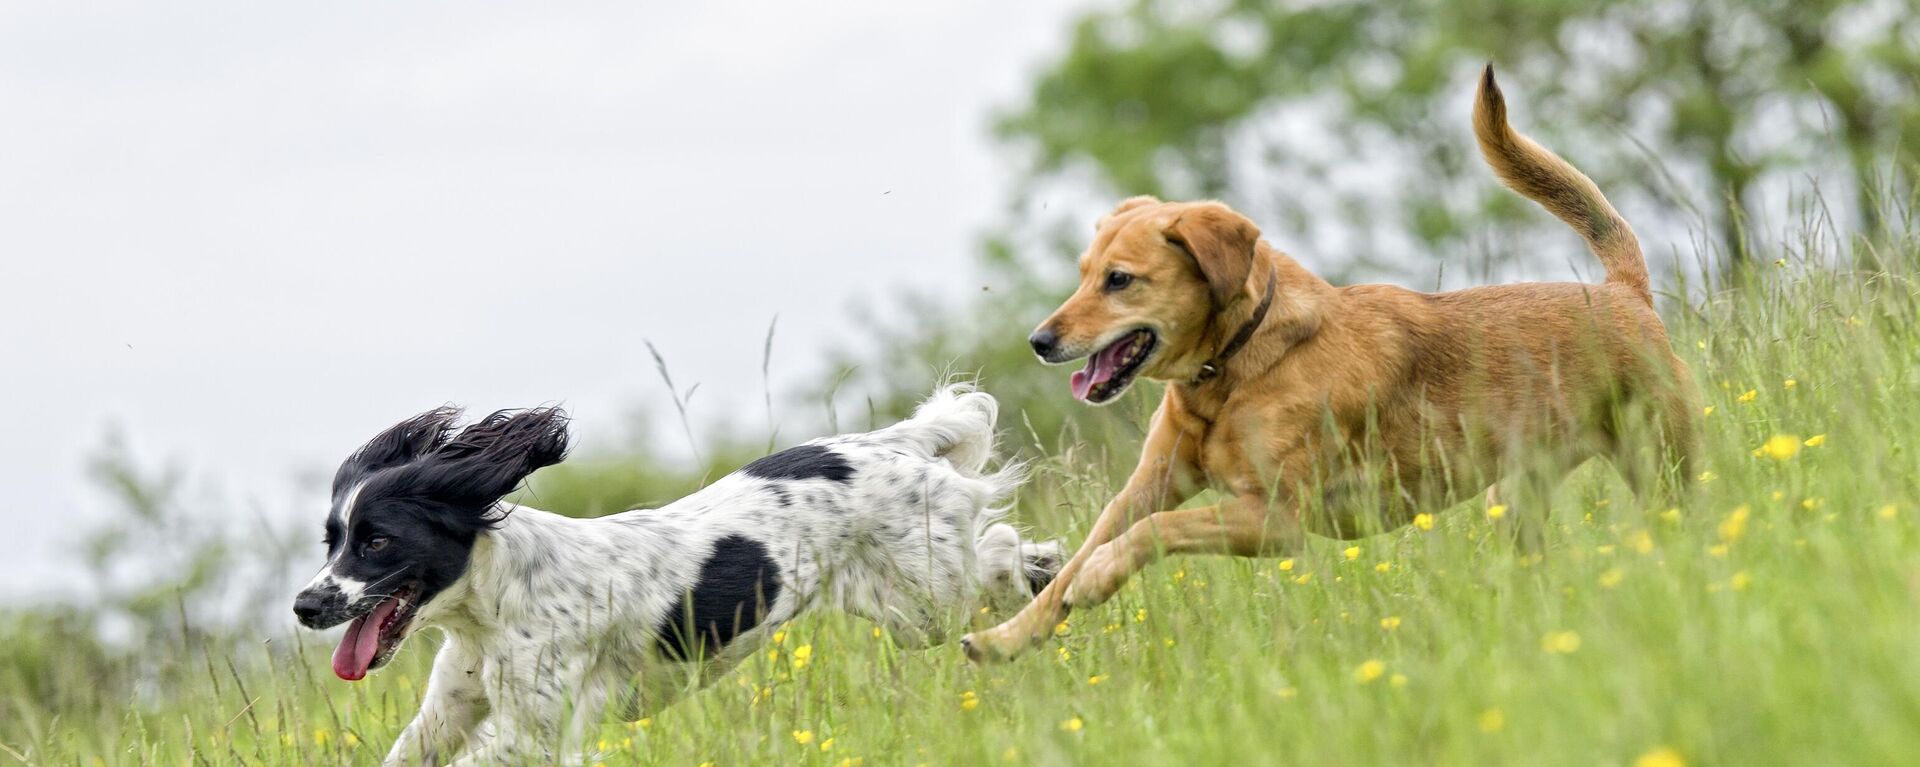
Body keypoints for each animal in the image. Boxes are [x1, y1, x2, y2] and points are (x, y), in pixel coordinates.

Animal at [291, 388, 1059, 765]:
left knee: (994, 548)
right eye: (332, 540)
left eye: (377, 541)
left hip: (929, 595)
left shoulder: (534, 729)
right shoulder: (450, 711)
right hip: (902, 611)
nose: (304, 605)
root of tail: (893, 442)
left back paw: (1040, 577)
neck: (491, 609)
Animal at [960, 66, 1697, 665]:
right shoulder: (1149, 484)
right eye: (1083, 273)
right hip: (1518, 498)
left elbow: (1149, 534)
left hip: (1662, 463)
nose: (1039, 340)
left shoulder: (1276, 518)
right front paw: (1005, 638)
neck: (1234, 368)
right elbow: (1077, 559)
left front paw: (1098, 577)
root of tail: (1623, 292)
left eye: (1119, 280)